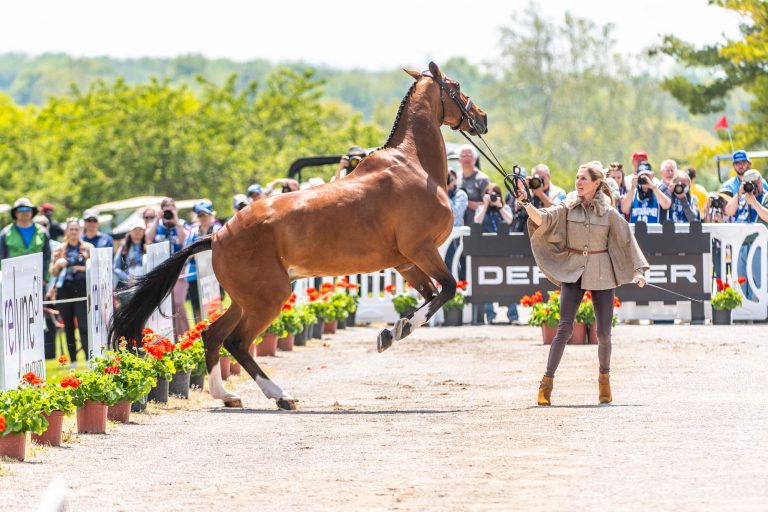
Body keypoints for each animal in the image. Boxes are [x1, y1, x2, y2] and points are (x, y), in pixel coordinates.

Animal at [109, 61, 488, 410]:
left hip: (246, 299)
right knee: (237, 342)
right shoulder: (421, 250)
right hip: (268, 298)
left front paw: (391, 331)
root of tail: (217, 236)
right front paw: (397, 331)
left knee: (212, 334)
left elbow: (430, 295)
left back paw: (227, 395)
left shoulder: (405, 262)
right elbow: (447, 290)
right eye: (456, 86)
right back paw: (280, 396)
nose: (481, 117)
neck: (413, 164)